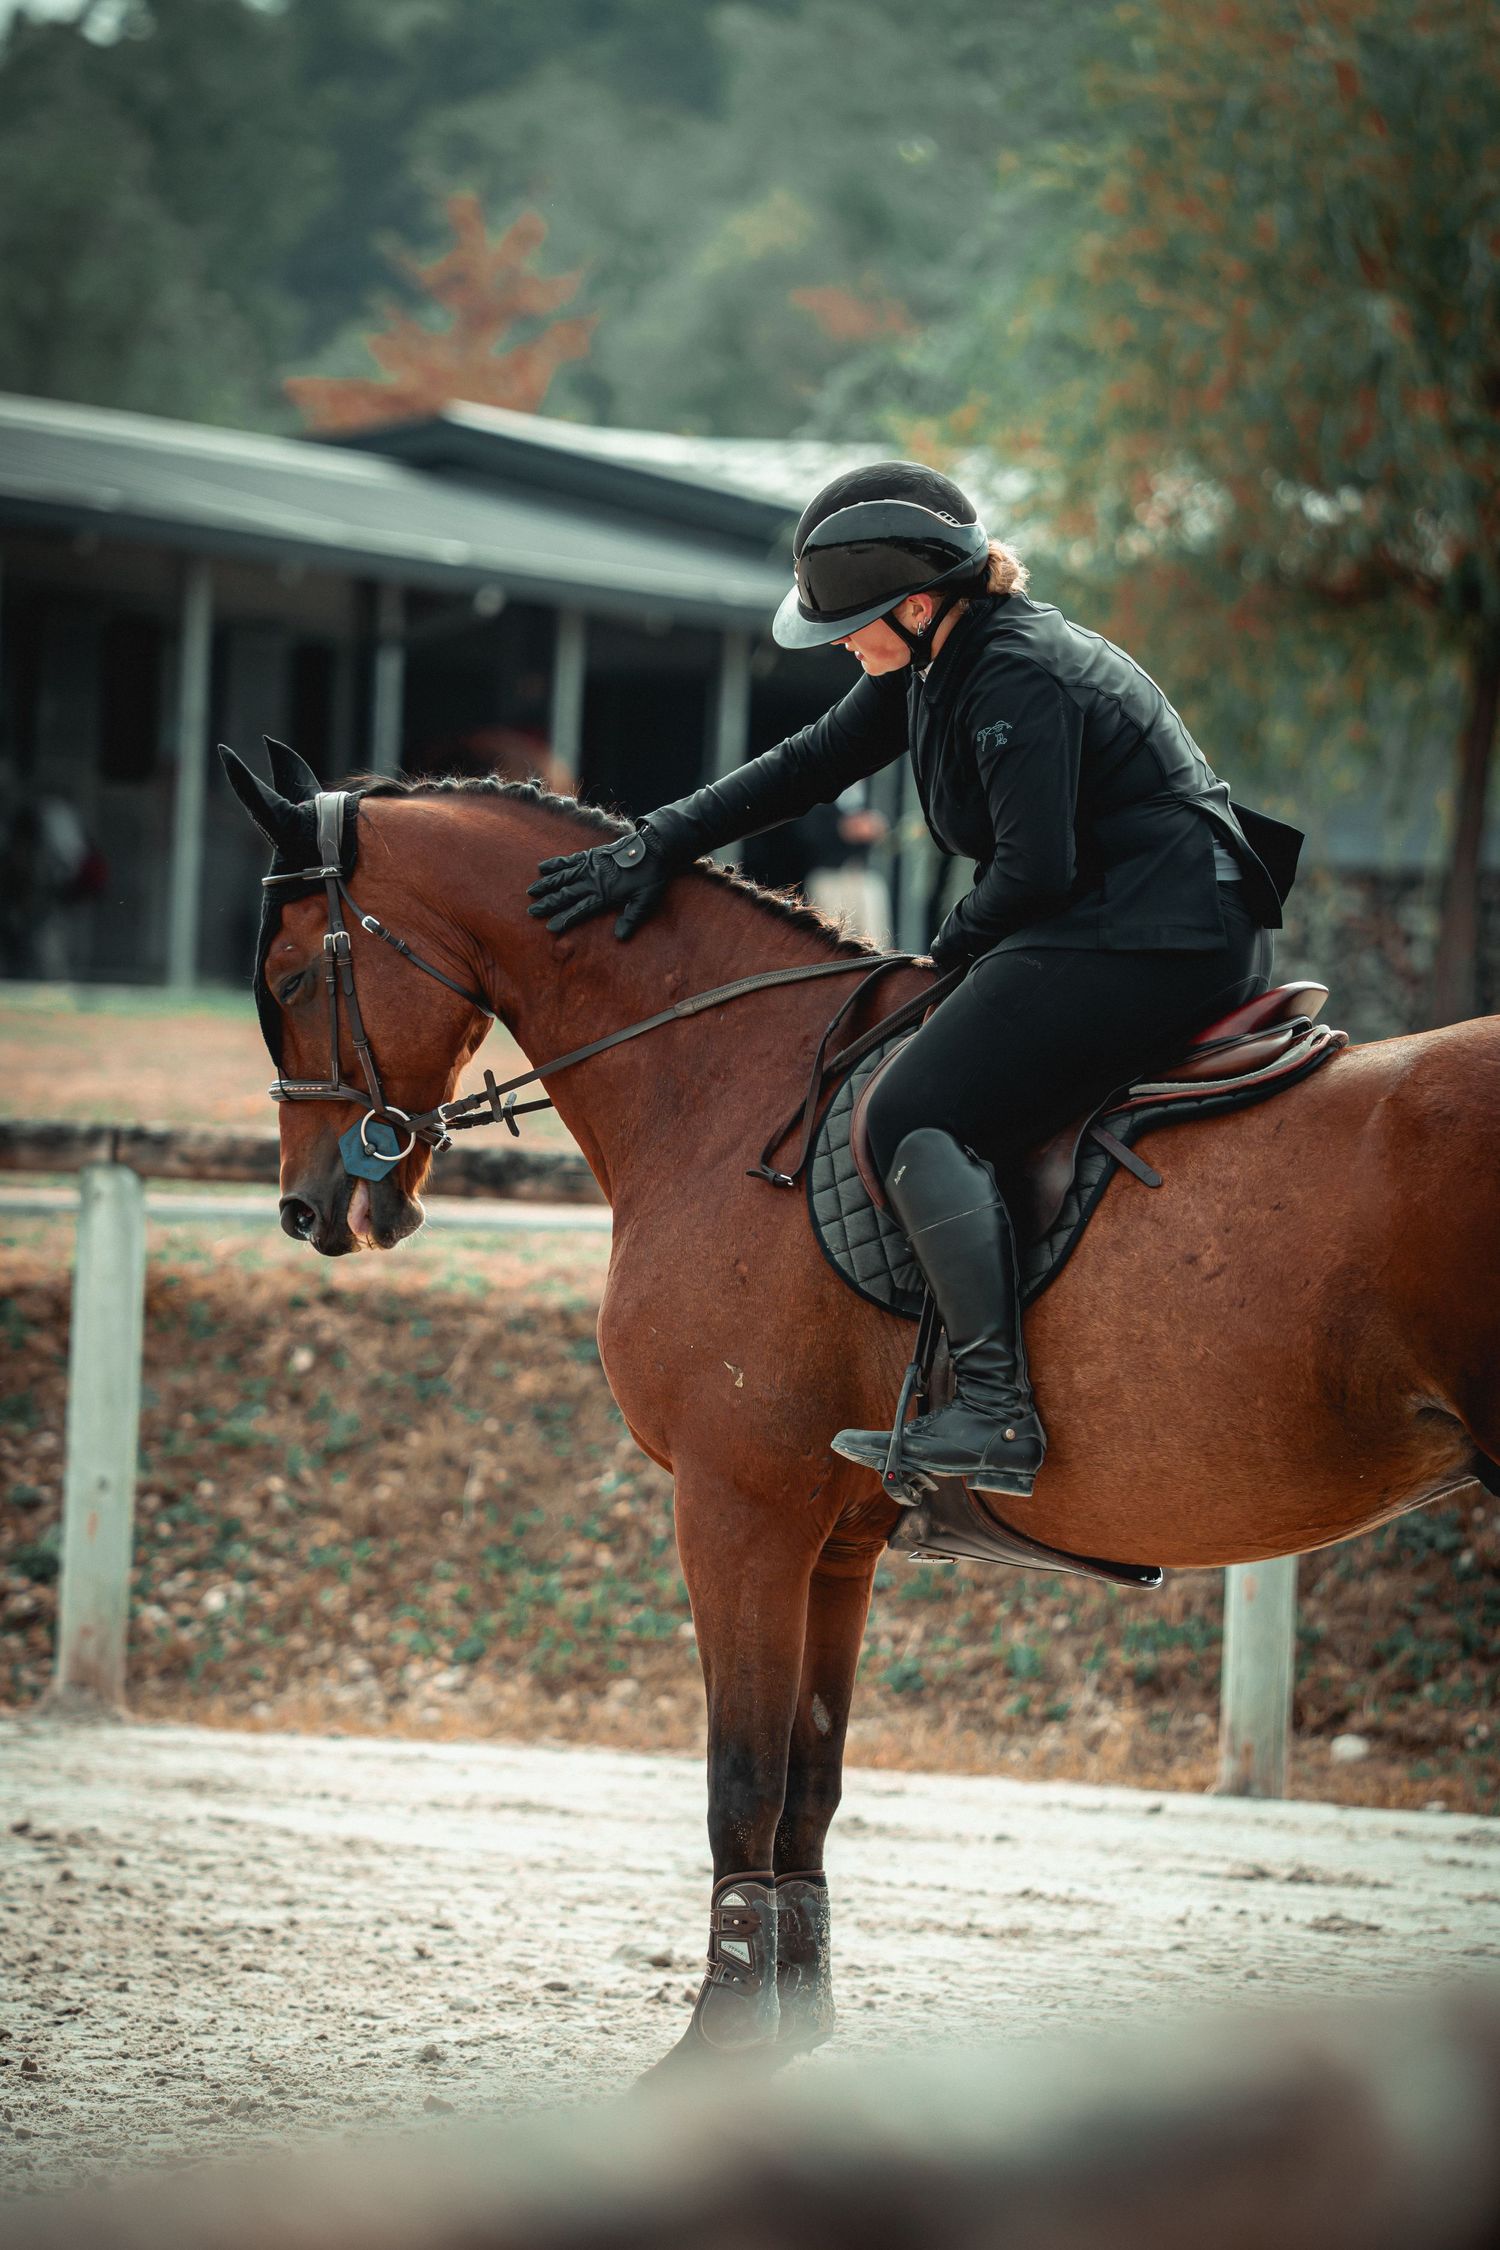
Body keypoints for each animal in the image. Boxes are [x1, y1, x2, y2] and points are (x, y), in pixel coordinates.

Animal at [223, 749, 1500, 2070]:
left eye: (289, 976)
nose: (313, 1209)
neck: (720, 1077)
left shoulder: (741, 1511)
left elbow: (741, 1776)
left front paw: (718, 2040)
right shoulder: (837, 1539)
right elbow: (810, 1783)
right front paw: (790, 2025)